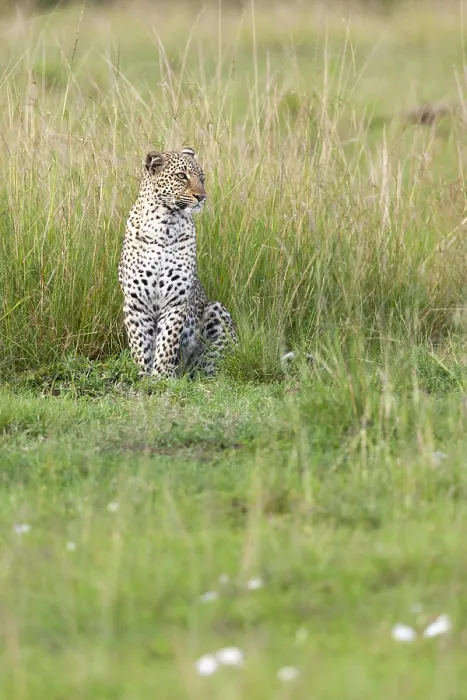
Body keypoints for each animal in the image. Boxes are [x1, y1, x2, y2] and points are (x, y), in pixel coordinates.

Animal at [118, 146, 237, 379]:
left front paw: (161, 377)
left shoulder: (176, 301)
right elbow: (140, 344)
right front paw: (144, 376)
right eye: (181, 176)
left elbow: (167, 343)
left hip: (217, 311)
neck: (164, 225)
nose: (202, 196)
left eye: (202, 178)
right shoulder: (136, 303)